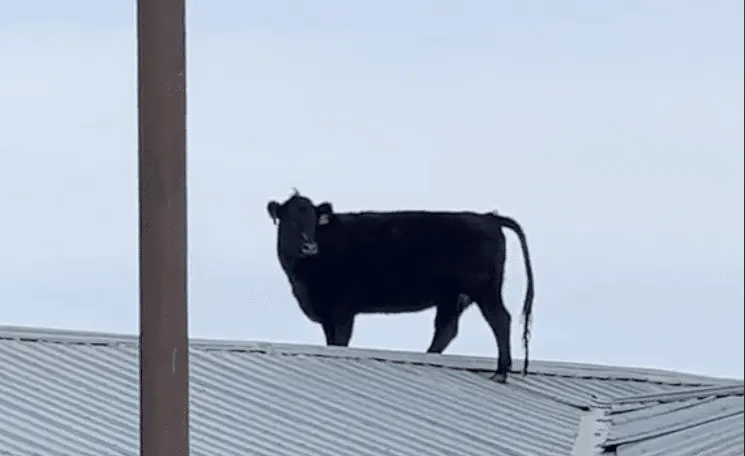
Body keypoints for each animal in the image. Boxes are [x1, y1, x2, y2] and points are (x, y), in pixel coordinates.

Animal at [268, 188, 536, 382]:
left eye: (313, 220)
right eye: (290, 221)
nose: (309, 247)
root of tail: (487, 217)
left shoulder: (343, 308)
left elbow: (340, 342)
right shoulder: (326, 313)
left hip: (484, 289)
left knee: (500, 320)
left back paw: (500, 372)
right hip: (453, 296)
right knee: (446, 330)